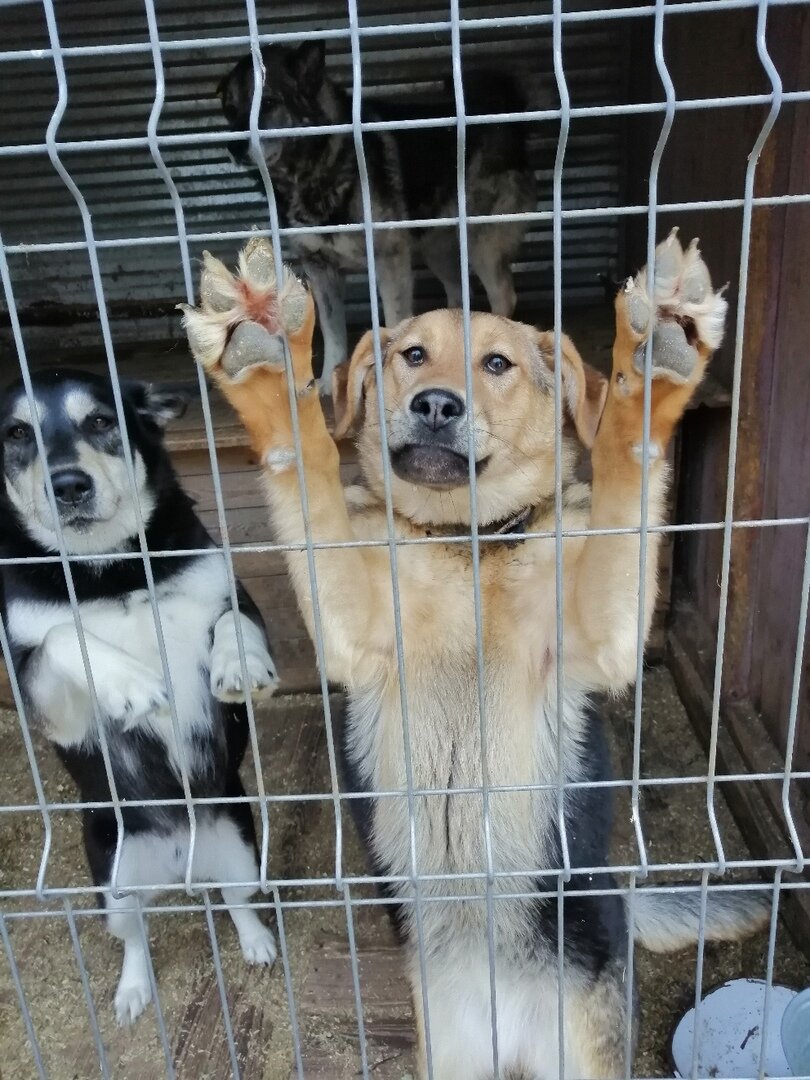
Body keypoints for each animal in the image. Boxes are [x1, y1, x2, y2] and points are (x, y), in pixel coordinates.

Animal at [0, 371, 278, 1019]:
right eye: (17, 434)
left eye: (102, 420)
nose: (68, 484)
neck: (111, 568)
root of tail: (180, 865)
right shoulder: (51, 703)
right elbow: (62, 635)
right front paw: (129, 684)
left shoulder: (231, 595)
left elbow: (235, 623)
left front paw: (238, 666)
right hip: (114, 888)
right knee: (136, 938)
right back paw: (132, 991)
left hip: (241, 850)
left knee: (237, 901)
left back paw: (255, 941)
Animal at [182, 238, 768, 1080]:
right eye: (413, 355)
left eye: (497, 364)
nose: (435, 405)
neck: (469, 544)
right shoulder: (352, 629)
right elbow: (308, 459)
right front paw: (266, 362)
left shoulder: (602, 637)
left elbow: (627, 467)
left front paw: (653, 368)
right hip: (449, 1057)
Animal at [219, 45, 540, 393]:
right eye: (230, 109)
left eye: (267, 103)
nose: (233, 146)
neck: (314, 171)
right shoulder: (321, 271)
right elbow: (333, 333)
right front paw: (328, 380)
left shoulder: (390, 263)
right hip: (437, 251)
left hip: (481, 244)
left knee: (503, 294)